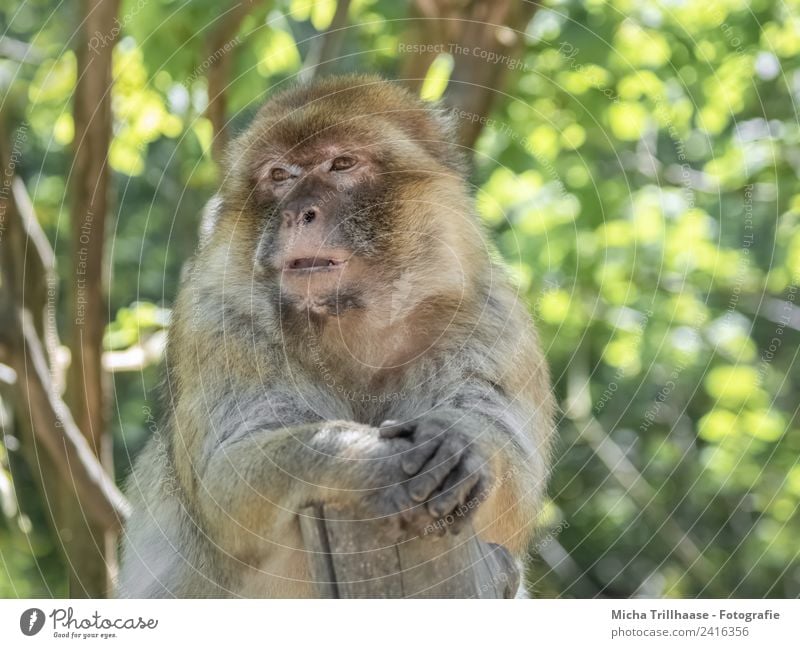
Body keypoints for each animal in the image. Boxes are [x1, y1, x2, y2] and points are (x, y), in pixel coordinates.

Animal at [117, 74, 556, 596]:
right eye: (280, 175)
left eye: (342, 164)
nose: (296, 213)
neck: (353, 325)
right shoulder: (218, 323)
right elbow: (230, 474)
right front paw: (373, 463)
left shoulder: (492, 322)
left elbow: (514, 498)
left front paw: (461, 441)